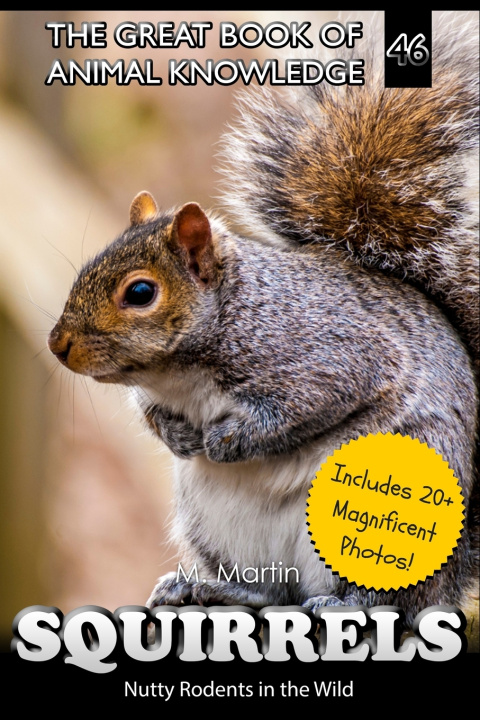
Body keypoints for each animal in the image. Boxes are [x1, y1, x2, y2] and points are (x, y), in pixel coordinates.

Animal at [48, 12, 478, 629]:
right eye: (86, 267)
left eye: (140, 292)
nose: (57, 345)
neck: (182, 371)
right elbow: (153, 415)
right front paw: (177, 434)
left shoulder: (327, 354)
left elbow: (308, 404)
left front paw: (228, 439)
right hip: (216, 527)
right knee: (273, 592)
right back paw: (206, 589)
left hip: (382, 515)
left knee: (381, 601)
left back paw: (345, 603)